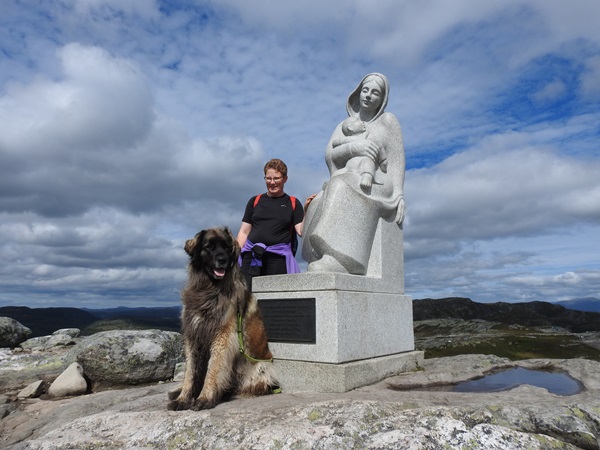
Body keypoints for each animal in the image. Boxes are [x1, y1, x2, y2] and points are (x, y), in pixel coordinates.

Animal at [166, 227, 278, 410]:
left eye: (226, 247)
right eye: (209, 247)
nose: (222, 260)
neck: (210, 289)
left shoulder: (222, 336)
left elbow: (213, 368)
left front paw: (205, 398)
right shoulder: (193, 334)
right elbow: (190, 372)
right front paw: (183, 398)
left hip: (261, 368)